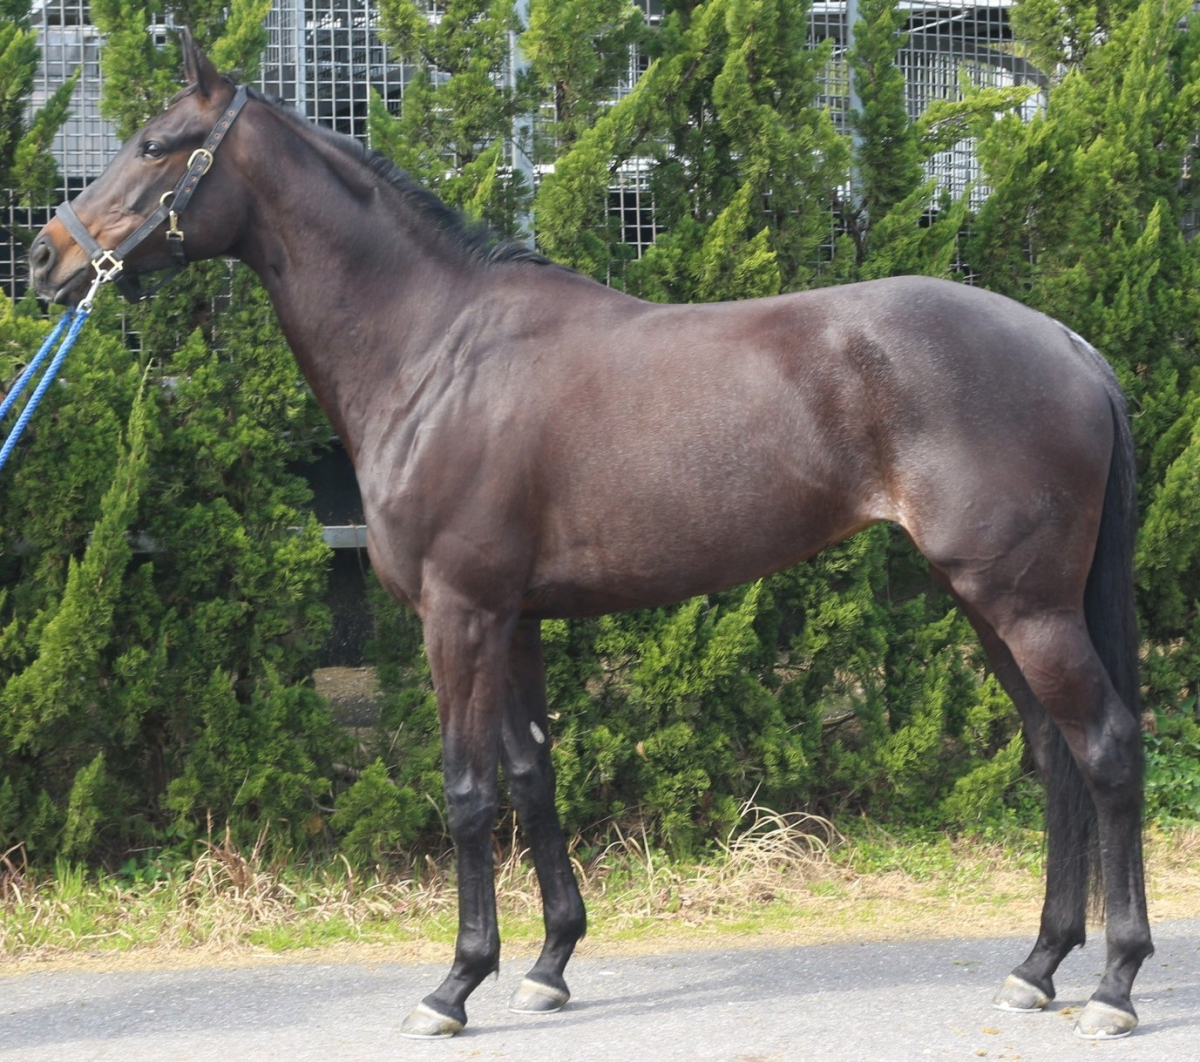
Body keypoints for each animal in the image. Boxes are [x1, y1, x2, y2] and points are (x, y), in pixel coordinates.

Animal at [30, 31, 1151, 1041]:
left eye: (157, 142)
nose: (47, 256)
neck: (436, 350)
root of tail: (1069, 344)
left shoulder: (458, 614)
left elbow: (468, 790)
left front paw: (455, 985)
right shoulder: (514, 617)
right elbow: (533, 775)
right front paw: (548, 966)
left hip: (1025, 605)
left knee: (1104, 747)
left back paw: (1114, 985)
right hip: (988, 603)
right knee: (1054, 755)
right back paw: (1038, 967)